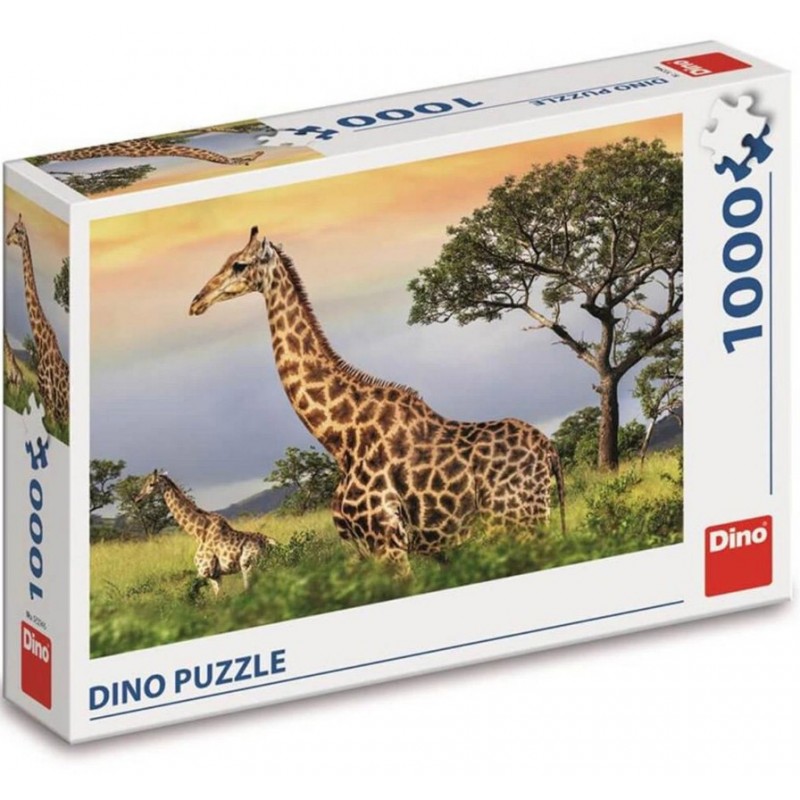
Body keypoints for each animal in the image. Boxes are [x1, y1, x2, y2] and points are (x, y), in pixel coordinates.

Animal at [5, 215, 69, 425]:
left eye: (18, 230)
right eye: (13, 227)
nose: (7, 239)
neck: (41, 345)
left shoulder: (49, 403)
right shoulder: (46, 404)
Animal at [135, 470, 276, 594]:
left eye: (151, 484)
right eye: (144, 482)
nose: (137, 499)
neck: (198, 533)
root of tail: (270, 542)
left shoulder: (204, 571)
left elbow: (191, 592)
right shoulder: (216, 576)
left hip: (248, 566)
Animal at [190, 227, 565, 575]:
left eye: (239, 264)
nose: (196, 301)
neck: (340, 438)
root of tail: (550, 452)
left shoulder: (388, 541)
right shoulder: (366, 548)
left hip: (518, 520)